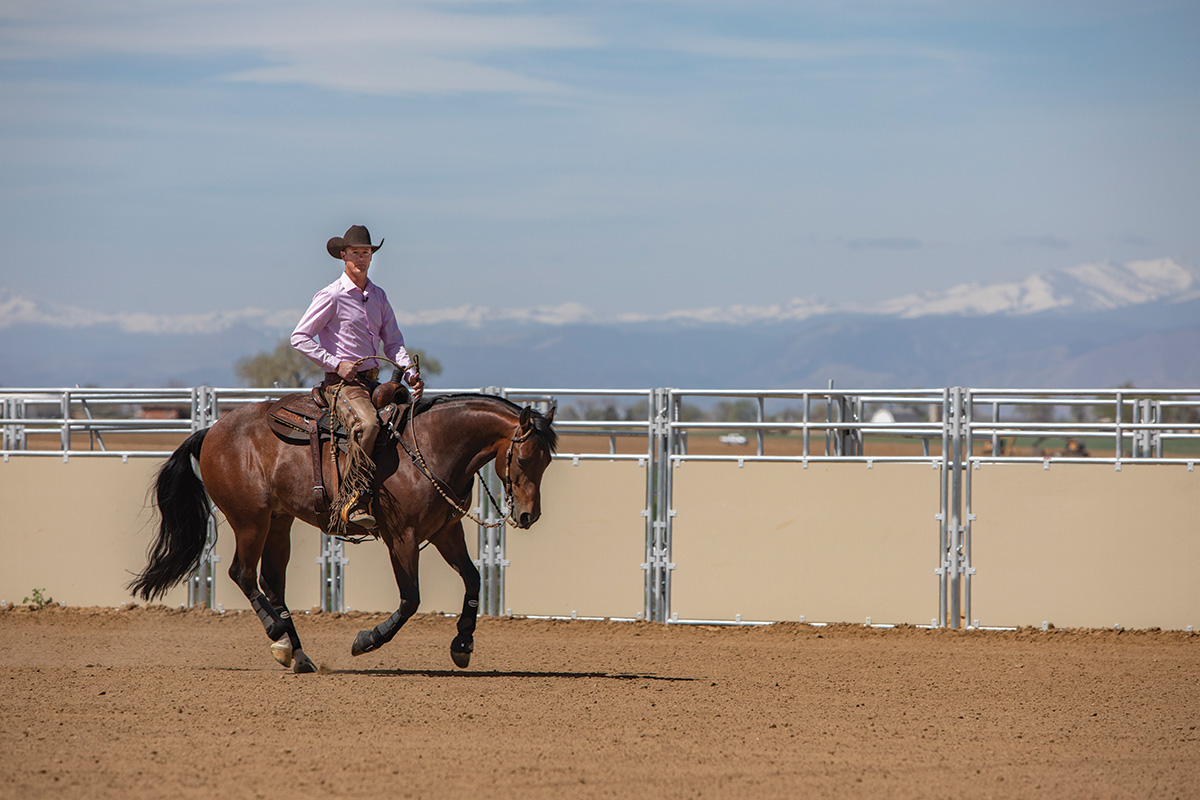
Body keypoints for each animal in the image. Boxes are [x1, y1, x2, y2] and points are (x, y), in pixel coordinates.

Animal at [129, 393, 559, 676]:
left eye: (547, 461)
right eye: (523, 459)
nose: (528, 515)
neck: (432, 447)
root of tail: (212, 430)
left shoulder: (445, 531)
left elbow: (473, 578)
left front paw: (463, 644)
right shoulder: (402, 536)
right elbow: (410, 600)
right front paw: (367, 640)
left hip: (280, 521)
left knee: (272, 582)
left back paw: (296, 654)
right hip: (251, 520)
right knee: (242, 574)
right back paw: (278, 635)